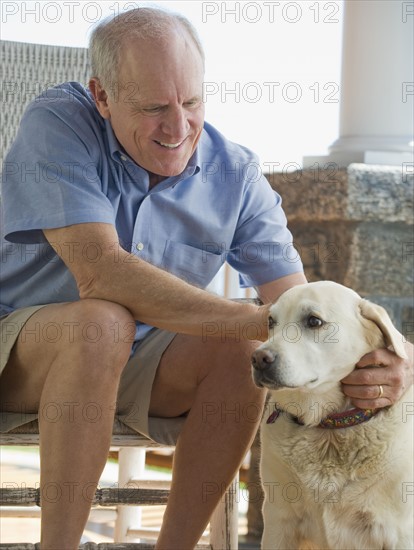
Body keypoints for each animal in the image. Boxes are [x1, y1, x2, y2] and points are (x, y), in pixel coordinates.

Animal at [252, 282, 414, 548]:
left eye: (314, 321)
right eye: (271, 322)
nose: (258, 358)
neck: (329, 428)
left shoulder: (400, 533)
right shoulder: (279, 521)